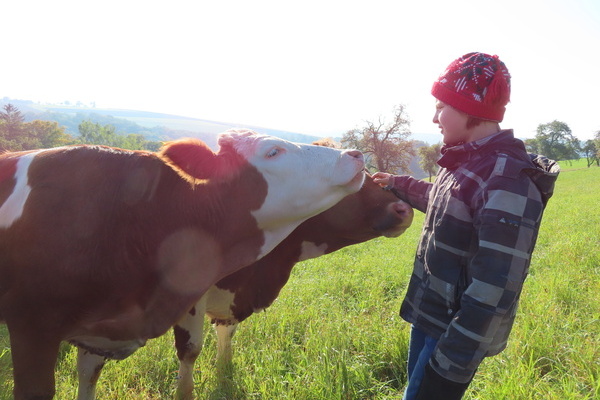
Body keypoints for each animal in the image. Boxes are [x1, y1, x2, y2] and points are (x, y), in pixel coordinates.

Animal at [75, 173, 414, 400]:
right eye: (351, 187)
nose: (405, 210)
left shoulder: (234, 296)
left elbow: (227, 333)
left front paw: (224, 371)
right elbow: (190, 350)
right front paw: (185, 392)